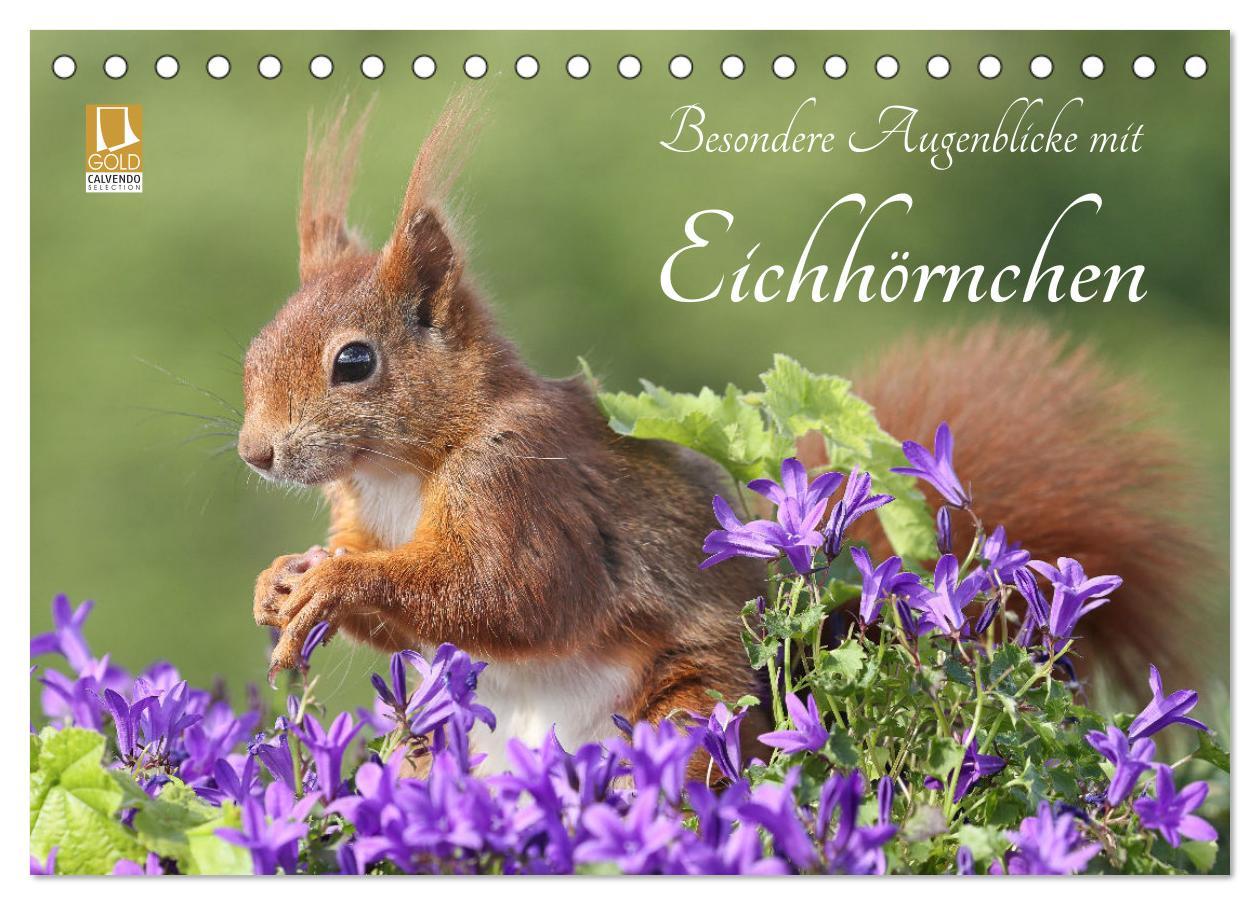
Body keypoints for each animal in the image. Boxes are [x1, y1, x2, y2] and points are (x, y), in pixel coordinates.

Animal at [238, 100, 1204, 773]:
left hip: (695, 704)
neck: (407, 464)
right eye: (256, 345)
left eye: (354, 362)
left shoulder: (522, 486)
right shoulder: (362, 510)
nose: (257, 452)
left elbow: (507, 594)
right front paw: (280, 581)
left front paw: (333, 584)